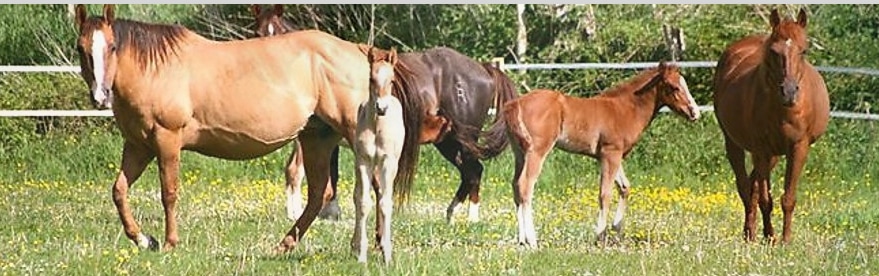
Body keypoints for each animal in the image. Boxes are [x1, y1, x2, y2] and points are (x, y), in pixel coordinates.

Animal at [75, 4, 426, 256]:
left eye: (113, 46)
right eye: (81, 48)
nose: (100, 96)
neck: (156, 69)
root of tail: (359, 52)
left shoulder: (166, 140)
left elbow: (169, 193)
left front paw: (170, 242)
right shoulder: (139, 145)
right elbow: (119, 191)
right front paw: (144, 239)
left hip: (357, 140)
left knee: (376, 188)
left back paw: (377, 245)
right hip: (317, 138)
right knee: (319, 193)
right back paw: (285, 245)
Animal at [251, 5, 520, 222]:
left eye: (279, 33)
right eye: (258, 32)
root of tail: (483, 68)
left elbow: (330, 174)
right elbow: (331, 173)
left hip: (462, 140)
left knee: (474, 171)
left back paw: (470, 218)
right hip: (448, 141)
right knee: (470, 172)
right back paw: (452, 214)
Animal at [502, 62, 700, 248]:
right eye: (674, 87)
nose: (695, 112)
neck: (624, 109)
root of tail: (515, 103)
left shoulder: (613, 155)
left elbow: (624, 187)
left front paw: (616, 231)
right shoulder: (610, 154)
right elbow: (605, 194)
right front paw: (600, 236)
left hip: (520, 152)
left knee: (516, 186)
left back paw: (522, 240)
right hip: (537, 151)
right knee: (526, 186)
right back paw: (532, 240)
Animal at [716, 8, 832, 244]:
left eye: (804, 51)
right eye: (773, 51)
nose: (789, 92)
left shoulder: (798, 147)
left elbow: (788, 198)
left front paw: (786, 240)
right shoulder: (761, 150)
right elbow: (765, 199)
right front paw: (770, 237)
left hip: (776, 155)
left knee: (751, 185)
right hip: (734, 143)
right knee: (745, 187)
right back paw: (750, 234)